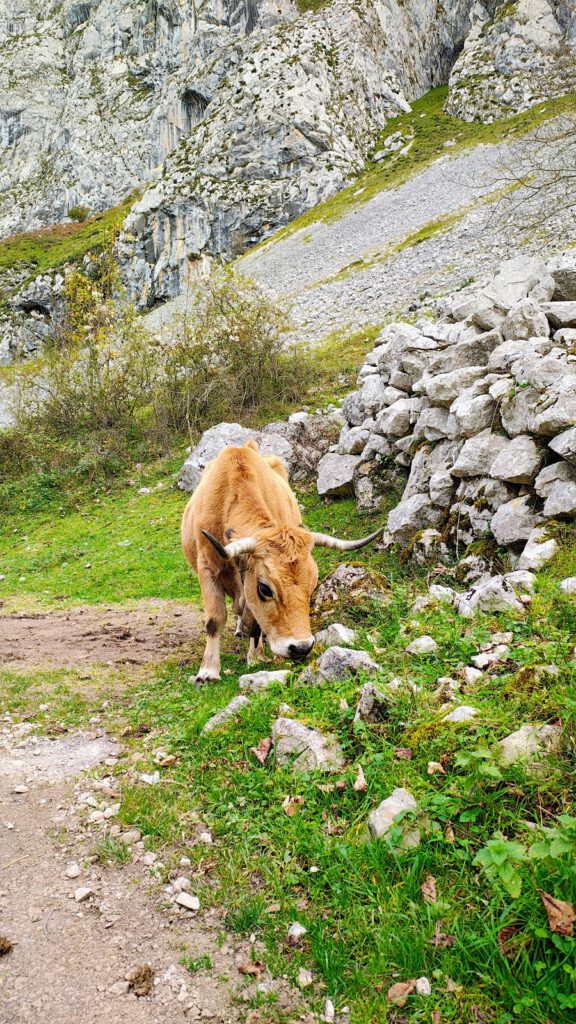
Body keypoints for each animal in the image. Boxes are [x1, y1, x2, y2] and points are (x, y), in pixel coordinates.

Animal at [181, 438, 383, 679]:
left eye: (312, 584)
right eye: (265, 589)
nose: (301, 647)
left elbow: (255, 620)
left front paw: (255, 656)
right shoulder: (207, 569)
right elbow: (215, 619)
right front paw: (208, 670)